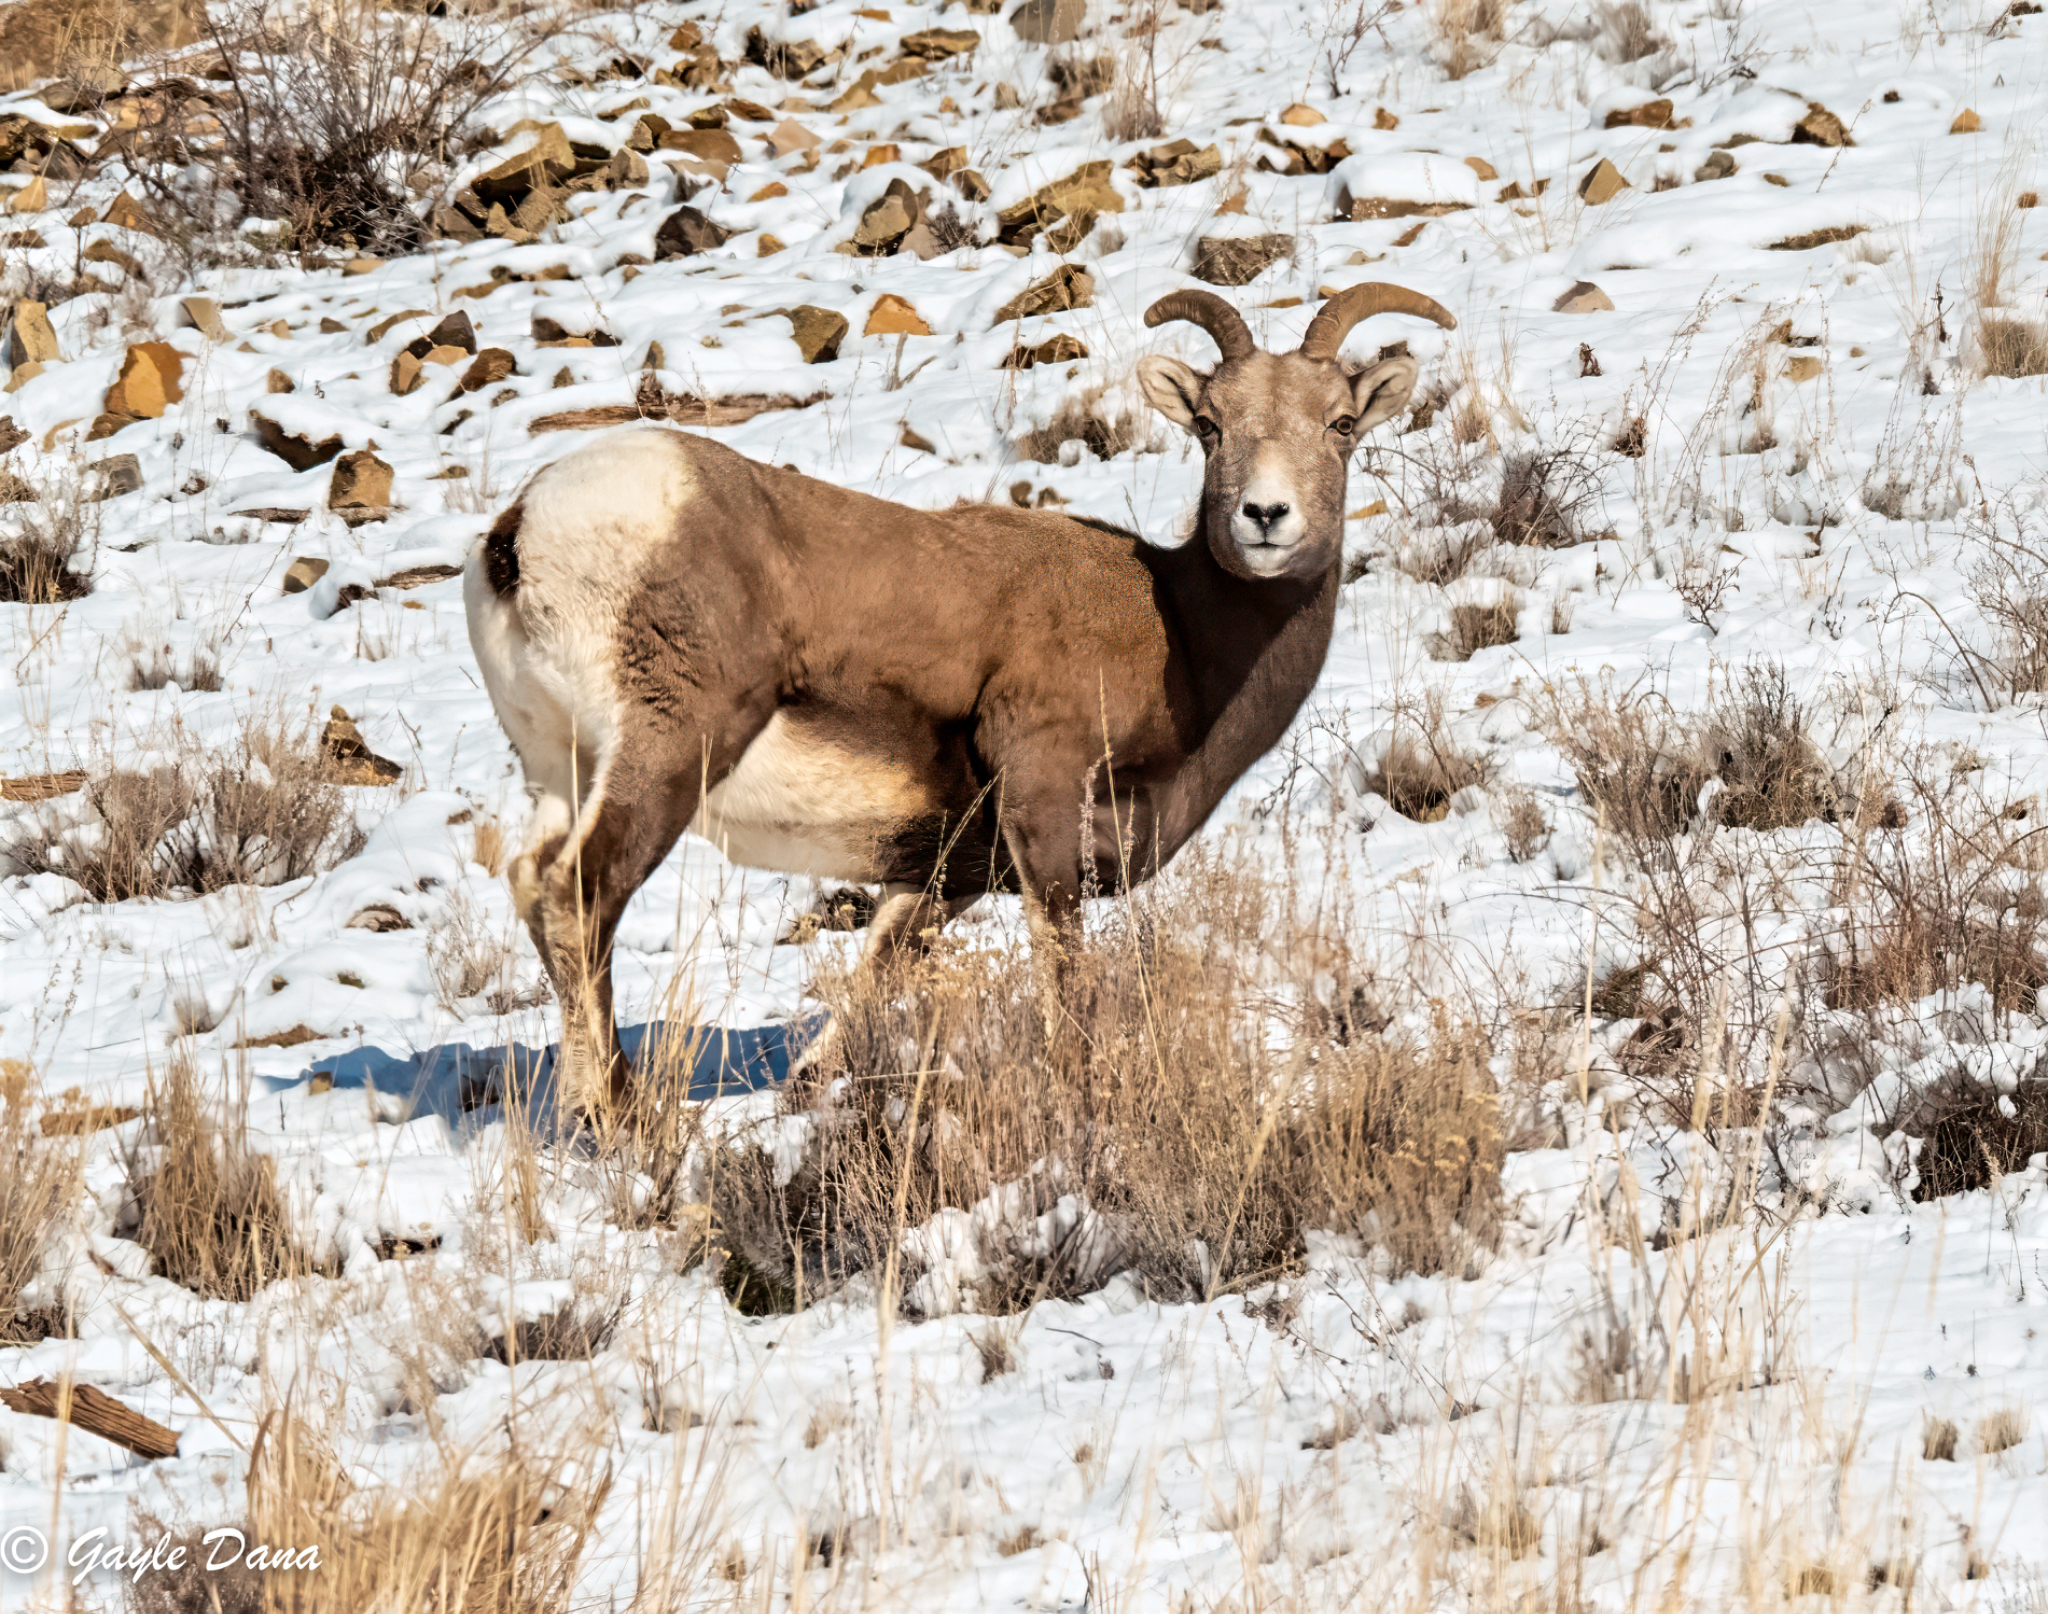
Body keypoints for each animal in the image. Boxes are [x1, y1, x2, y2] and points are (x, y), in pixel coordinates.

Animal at [464, 283, 1456, 1115]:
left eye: (1340, 423)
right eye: (1211, 425)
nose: (1265, 517)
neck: (1174, 627)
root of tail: (523, 531)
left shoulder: (945, 875)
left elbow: (868, 991)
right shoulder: (1044, 816)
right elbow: (1066, 990)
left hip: (562, 771)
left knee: (532, 885)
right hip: (670, 755)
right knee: (578, 897)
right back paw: (621, 1119)